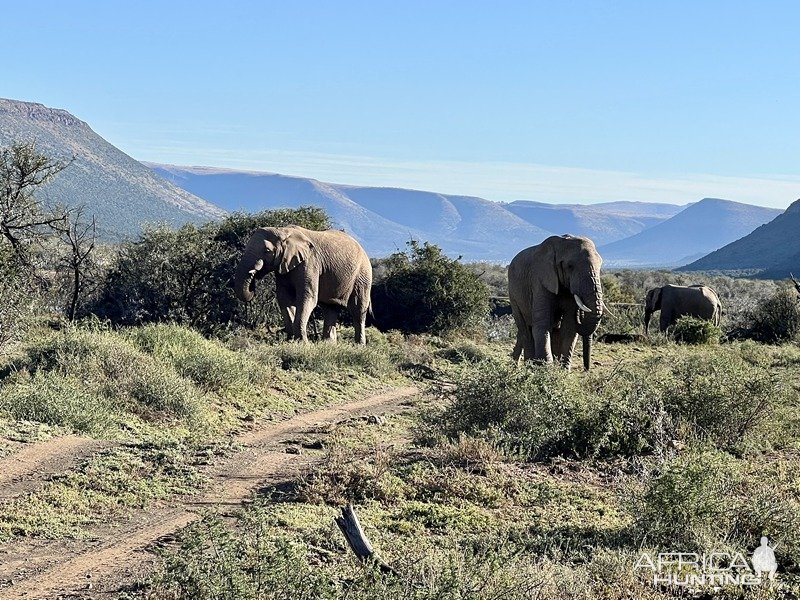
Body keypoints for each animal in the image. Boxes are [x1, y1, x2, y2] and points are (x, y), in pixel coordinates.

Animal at [233, 225, 374, 344]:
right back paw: (329, 345)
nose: (255, 275)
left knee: (358, 309)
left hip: (363, 275)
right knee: (330, 308)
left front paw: (302, 343)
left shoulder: (310, 262)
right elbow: (285, 299)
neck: (283, 230)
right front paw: (290, 342)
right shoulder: (284, 267)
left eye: (267, 251)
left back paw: (359, 346)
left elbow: (307, 297)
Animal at [510, 234, 604, 370]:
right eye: (570, 266)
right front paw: (545, 368)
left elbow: (569, 327)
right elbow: (543, 323)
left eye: (601, 265)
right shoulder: (540, 279)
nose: (586, 369)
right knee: (525, 328)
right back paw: (529, 365)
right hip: (513, 295)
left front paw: (563, 370)